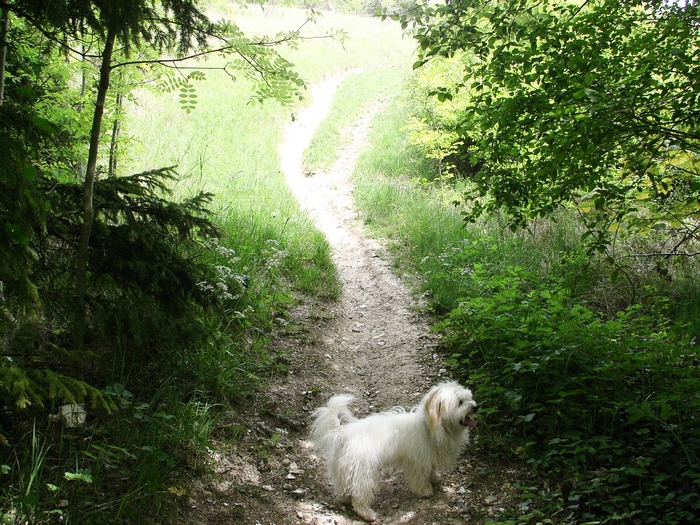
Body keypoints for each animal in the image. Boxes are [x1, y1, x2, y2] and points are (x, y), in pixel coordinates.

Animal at [310, 380, 476, 520]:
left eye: (469, 397)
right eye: (460, 402)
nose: (475, 407)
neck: (429, 425)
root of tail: (344, 433)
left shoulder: (429, 456)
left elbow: (432, 469)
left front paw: (435, 478)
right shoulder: (418, 461)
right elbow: (421, 477)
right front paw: (425, 490)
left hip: (342, 467)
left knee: (342, 486)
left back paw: (344, 499)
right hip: (363, 471)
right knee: (359, 494)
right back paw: (366, 513)